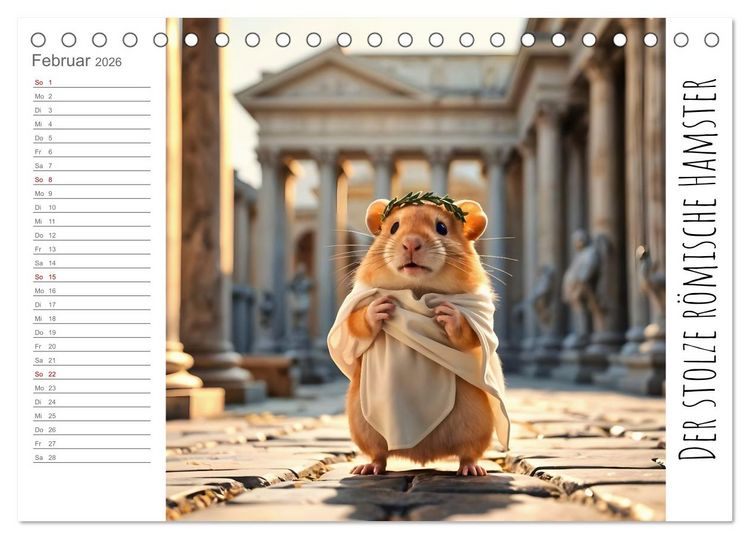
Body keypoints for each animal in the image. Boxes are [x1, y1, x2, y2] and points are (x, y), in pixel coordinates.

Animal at [345, 197, 495, 476]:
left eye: (442, 228)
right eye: (394, 227)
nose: (411, 243)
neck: (417, 290)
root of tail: (423, 456)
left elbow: (470, 335)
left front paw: (448, 314)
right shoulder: (356, 304)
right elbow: (356, 322)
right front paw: (379, 308)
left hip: (478, 423)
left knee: (469, 451)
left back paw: (471, 469)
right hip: (362, 426)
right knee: (379, 454)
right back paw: (367, 467)